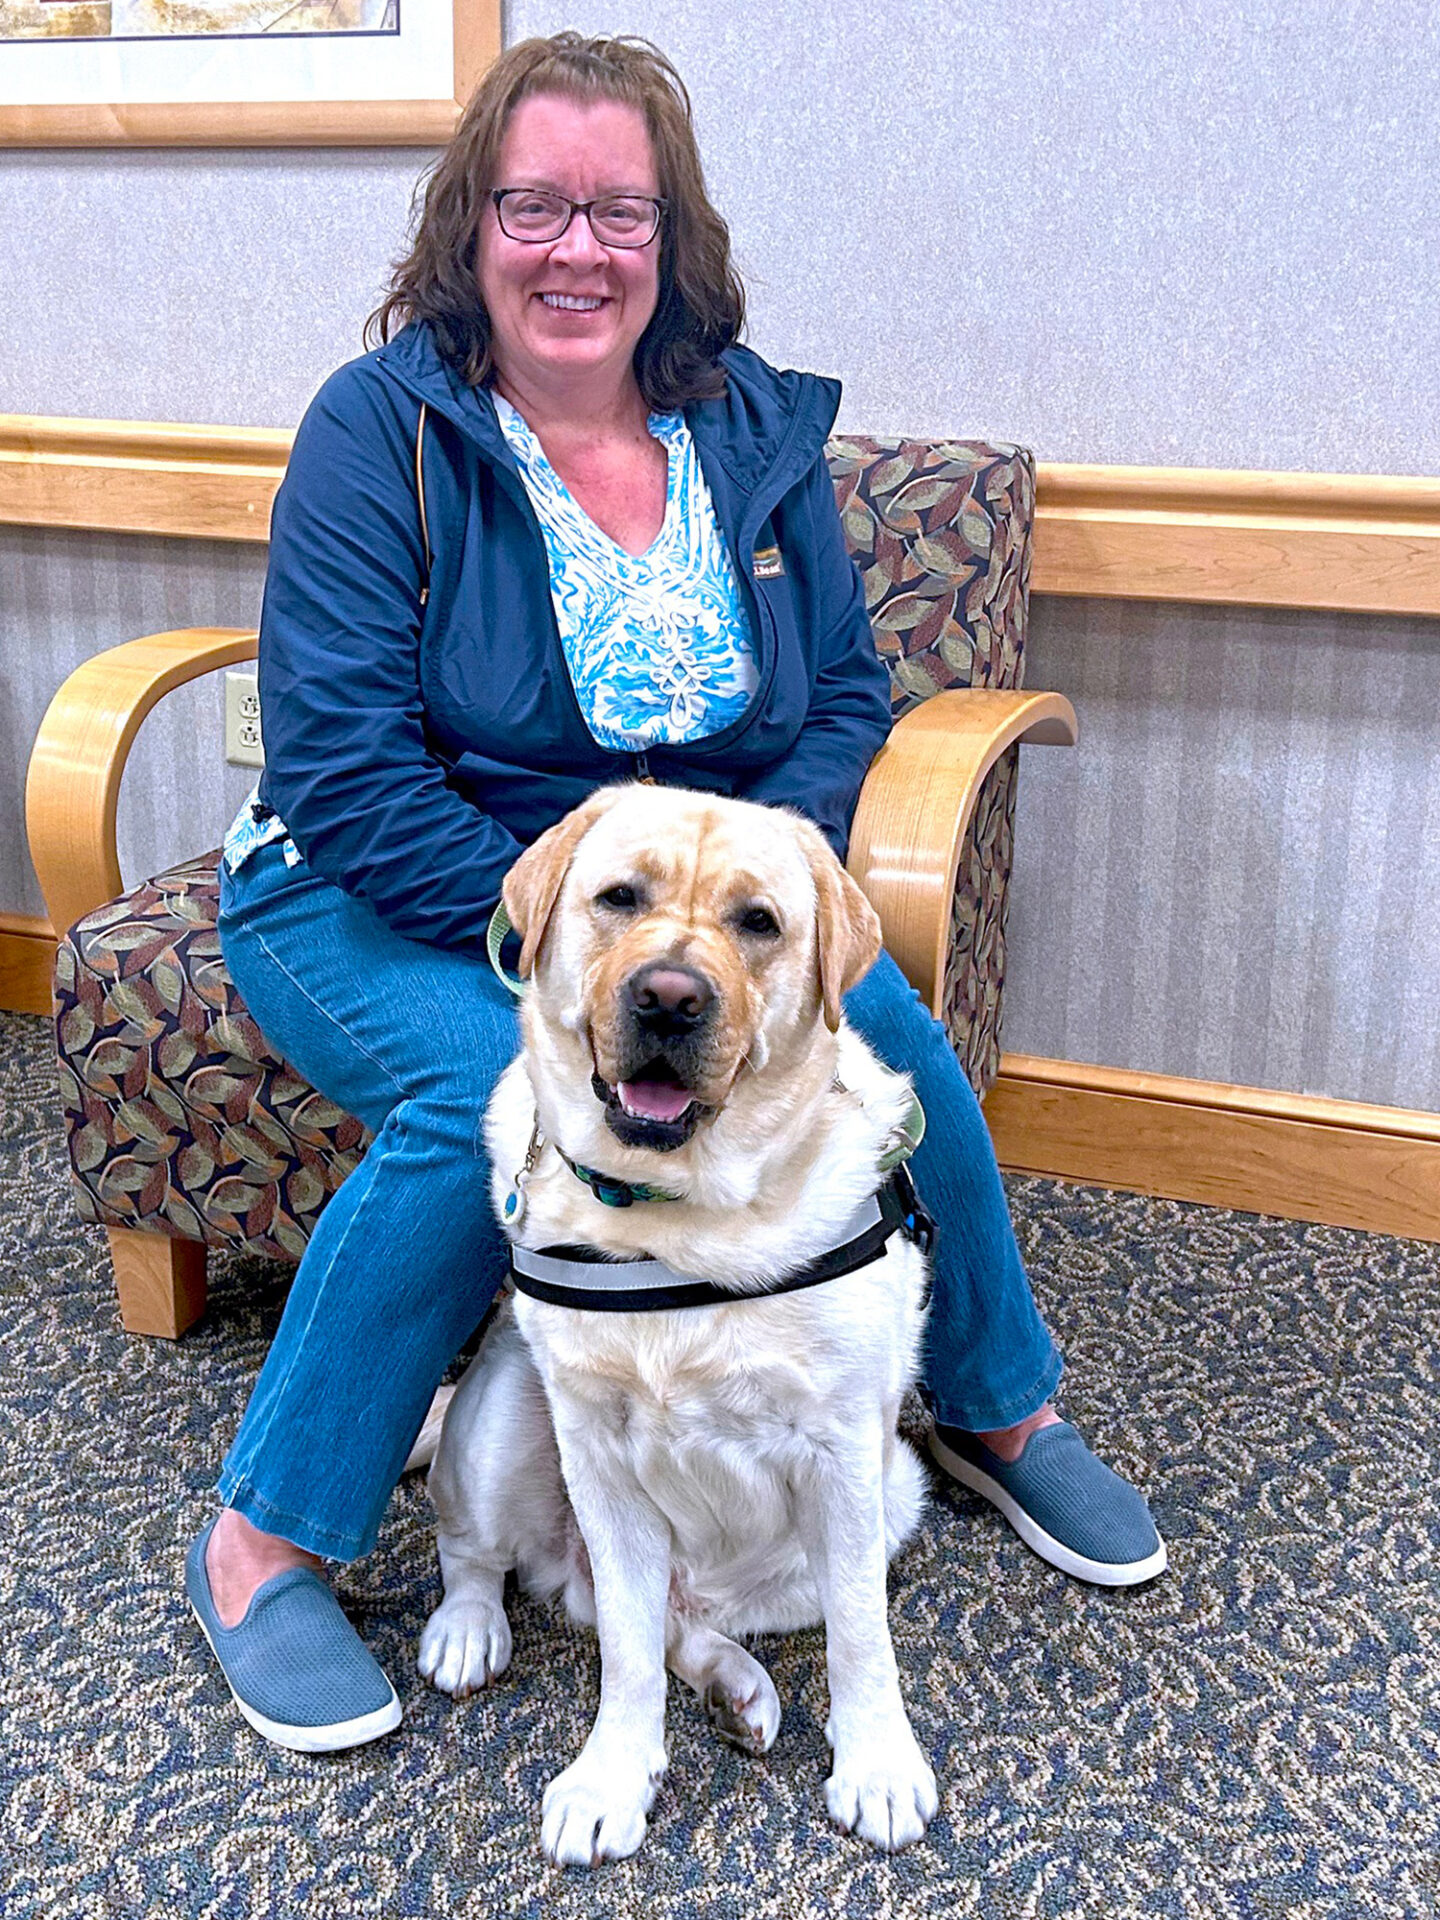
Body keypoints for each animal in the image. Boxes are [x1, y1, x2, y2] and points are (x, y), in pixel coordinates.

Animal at [420, 779, 936, 1858]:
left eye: (759, 923)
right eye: (620, 897)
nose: (667, 996)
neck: (680, 1220)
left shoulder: (843, 1455)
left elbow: (861, 1634)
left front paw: (877, 1764)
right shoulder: (600, 1459)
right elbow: (622, 1651)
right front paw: (613, 1777)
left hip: (894, 1493)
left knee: (687, 1627)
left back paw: (738, 1689)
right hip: (504, 1415)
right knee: (489, 1557)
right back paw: (469, 1628)